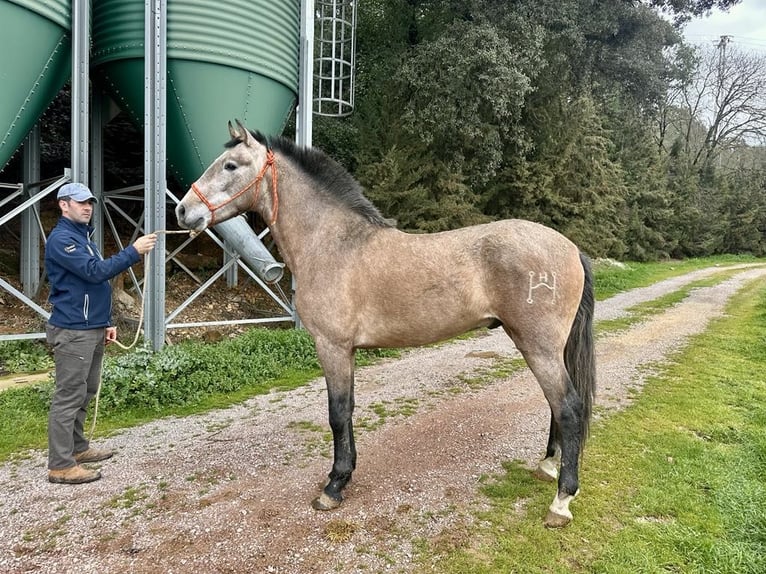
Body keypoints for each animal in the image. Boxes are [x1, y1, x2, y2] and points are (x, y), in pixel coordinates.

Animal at [177, 121, 596, 532]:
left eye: (230, 165)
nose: (183, 211)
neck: (333, 244)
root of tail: (572, 248)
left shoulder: (331, 346)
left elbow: (337, 413)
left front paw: (333, 486)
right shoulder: (345, 351)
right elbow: (347, 410)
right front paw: (343, 475)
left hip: (538, 347)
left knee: (569, 407)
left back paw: (561, 501)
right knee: (557, 405)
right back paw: (547, 466)